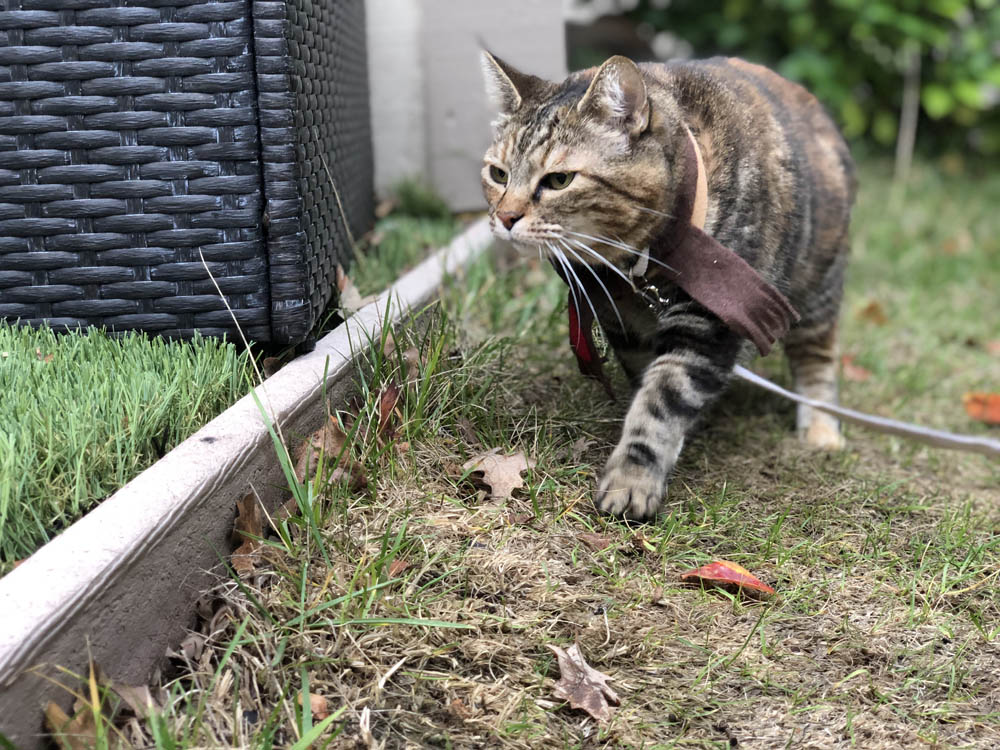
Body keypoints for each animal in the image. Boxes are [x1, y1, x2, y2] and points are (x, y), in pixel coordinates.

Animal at [480, 52, 856, 521]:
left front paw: (633, 478)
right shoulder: (622, 325)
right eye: (498, 173)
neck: (636, 266)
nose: (505, 217)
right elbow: (644, 382)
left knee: (817, 358)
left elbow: (660, 403)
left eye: (559, 180)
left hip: (820, 286)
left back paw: (821, 428)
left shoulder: (708, 324)